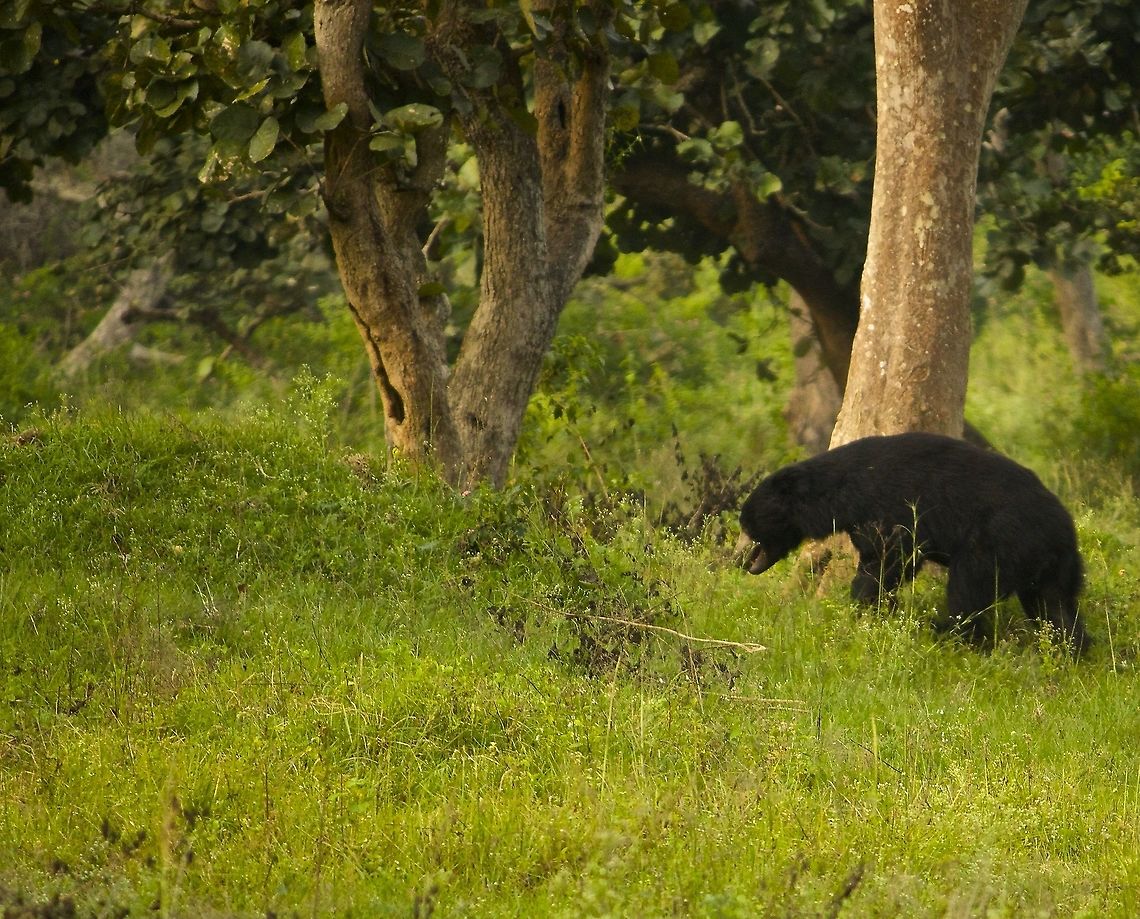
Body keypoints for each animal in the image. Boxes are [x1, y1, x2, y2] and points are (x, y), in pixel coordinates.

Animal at [737, 432, 1088, 654]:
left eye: (747, 524)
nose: (740, 559)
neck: (838, 494)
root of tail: (1062, 530)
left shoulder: (884, 506)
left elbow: (887, 559)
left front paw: (865, 606)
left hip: (997, 541)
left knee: (969, 590)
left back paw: (949, 633)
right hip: (1054, 566)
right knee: (1055, 606)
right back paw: (1070, 649)